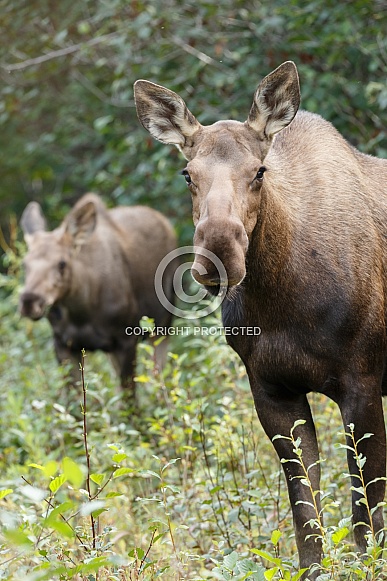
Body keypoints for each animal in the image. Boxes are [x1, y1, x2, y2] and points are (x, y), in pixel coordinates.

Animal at [20, 193, 178, 396]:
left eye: (62, 263)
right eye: (25, 264)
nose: (30, 301)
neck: (82, 311)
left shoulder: (126, 339)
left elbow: (130, 398)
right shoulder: (63, 344)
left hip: (162, 326)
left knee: (159, 374)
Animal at [135, 63, 387, 576]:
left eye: (259, 171)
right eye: (187, 173)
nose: (219, 252)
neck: (284, 301)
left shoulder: (363, 380)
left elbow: (365, 518)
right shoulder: (271, 390)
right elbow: (306, 519)